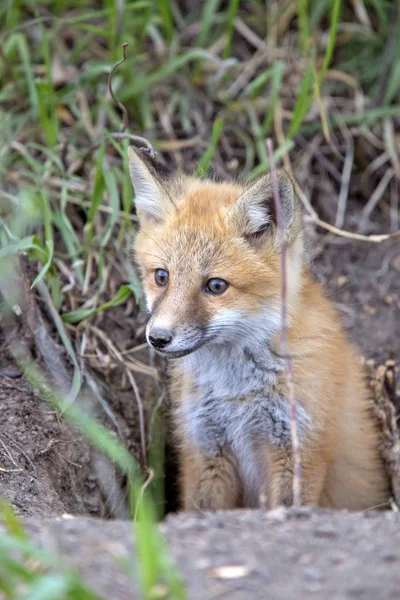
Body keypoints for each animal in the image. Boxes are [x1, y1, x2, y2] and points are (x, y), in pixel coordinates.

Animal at [129, 145, 390, 510]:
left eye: (216, 286)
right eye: (161, 277)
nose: (158, 338)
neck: (235, 393)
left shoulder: (297, 448)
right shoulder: (206, 447)